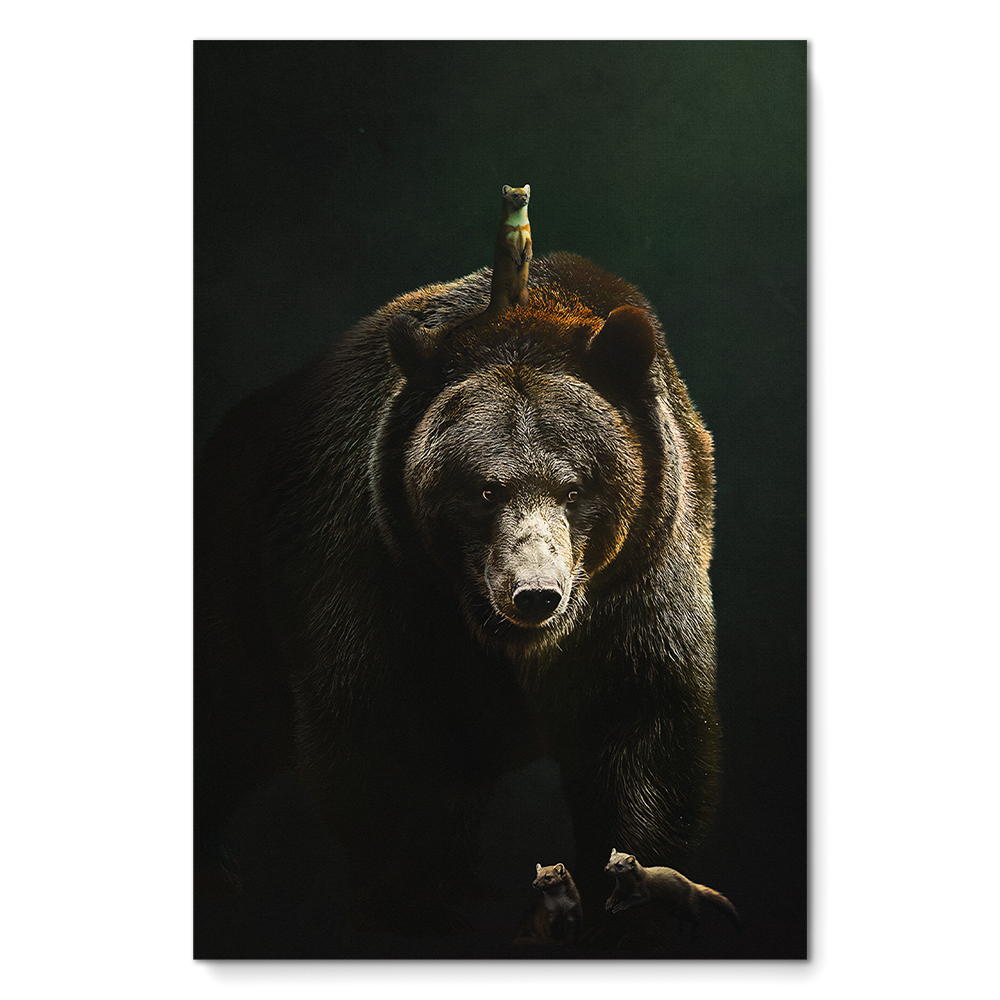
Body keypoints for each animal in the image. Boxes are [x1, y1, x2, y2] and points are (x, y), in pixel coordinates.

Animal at [191, 252, 720, 933]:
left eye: (576, 488)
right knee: (228, 710)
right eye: (484, 490)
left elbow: (646, 742)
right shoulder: (382, 577)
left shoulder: (637, 591)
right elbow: (384, 746)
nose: (534, 593)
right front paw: (413, 898)